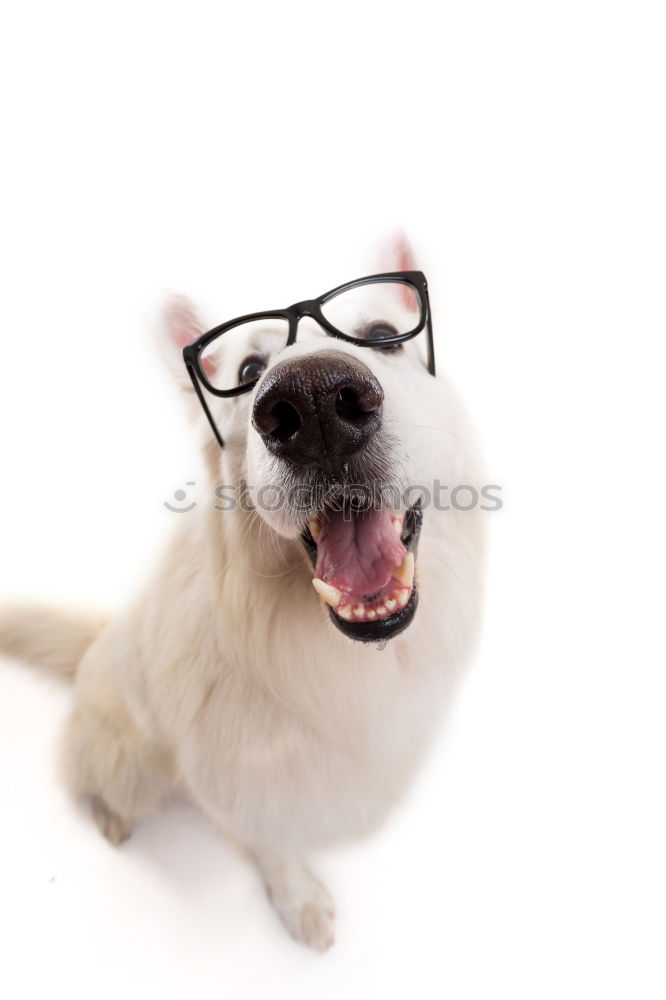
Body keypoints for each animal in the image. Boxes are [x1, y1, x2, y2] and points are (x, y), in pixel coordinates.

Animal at [0, 238, 482, 948]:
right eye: (249, 370)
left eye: (382, 336)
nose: (313, 404)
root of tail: (98, 641)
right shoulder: (243, 783)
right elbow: (275, 844)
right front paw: (298, 899)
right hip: (128, 761)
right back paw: (112, 815)